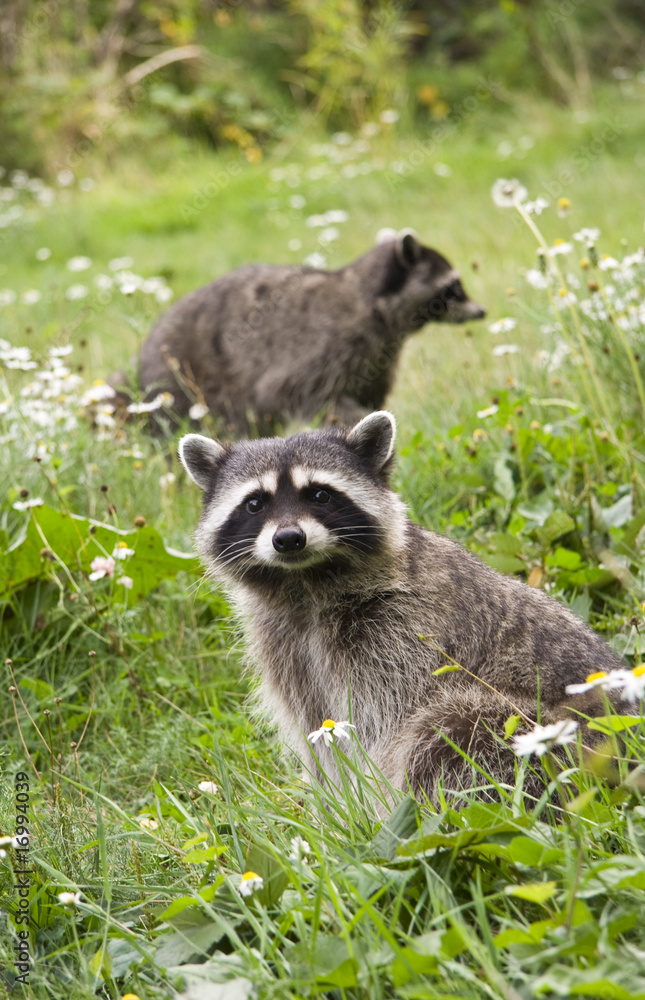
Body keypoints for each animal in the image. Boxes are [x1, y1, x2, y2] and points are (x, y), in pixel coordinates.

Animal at [133, 231, 484, 434]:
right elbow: (298, 392)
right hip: (192, 383)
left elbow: (371, 395)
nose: (481, 311)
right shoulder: (320, 347)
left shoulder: (378, 356)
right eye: (453, 288)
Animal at [178, 412, 624, 801]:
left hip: (544, 729)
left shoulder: (401, 637)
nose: (288, 538)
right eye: (255, 503)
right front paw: (337, 809)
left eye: (320, 494)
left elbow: (377, 728)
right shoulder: (287, 650)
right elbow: (317, 733)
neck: (303, 583)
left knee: (450, 728)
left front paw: (371, 809)